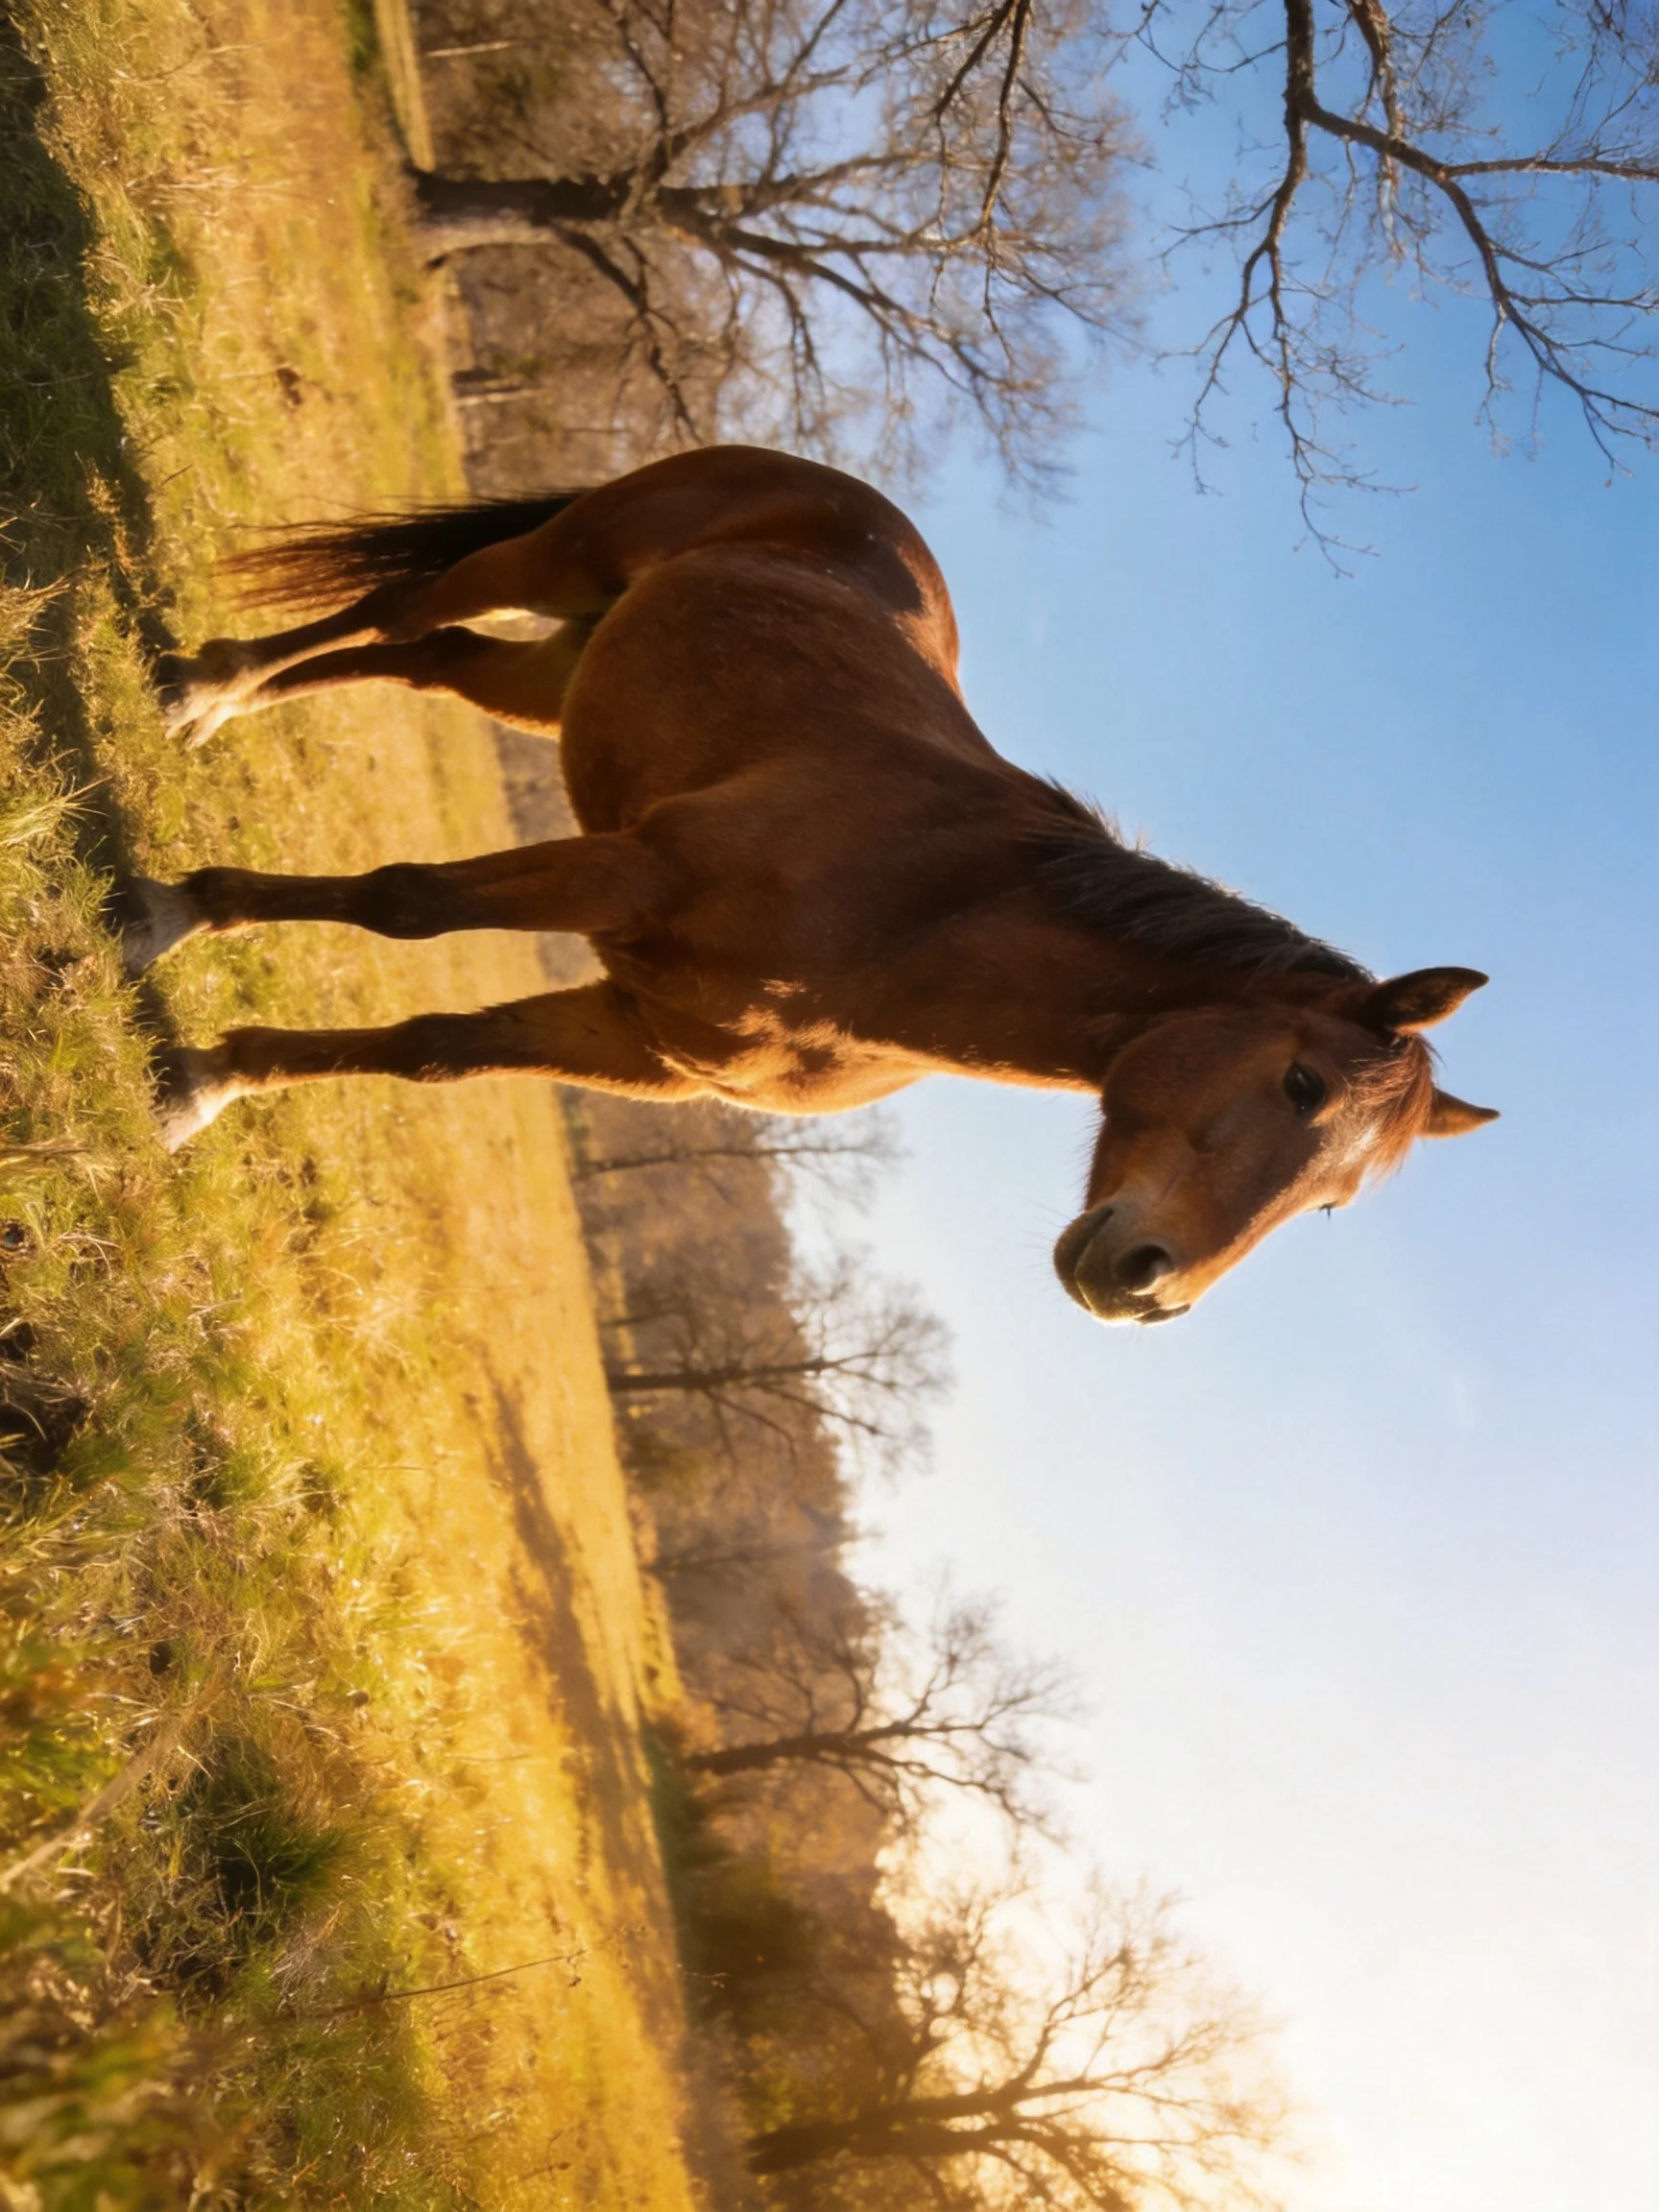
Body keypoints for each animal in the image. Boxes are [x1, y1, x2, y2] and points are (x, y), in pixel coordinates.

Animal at [123, 445, 1497, 1325]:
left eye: (1333, 1203)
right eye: (1301, 1082)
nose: (1149, 1288)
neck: (906, 926)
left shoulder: (636, 1040)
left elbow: (431, 1052)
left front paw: (206, 1081)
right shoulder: (628, 875)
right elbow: (405, 901)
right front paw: (169, 921)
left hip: (555, 674)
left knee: (423, 656)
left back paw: (207, 704)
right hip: (558, 565)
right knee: (415, 605)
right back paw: (205, 688)